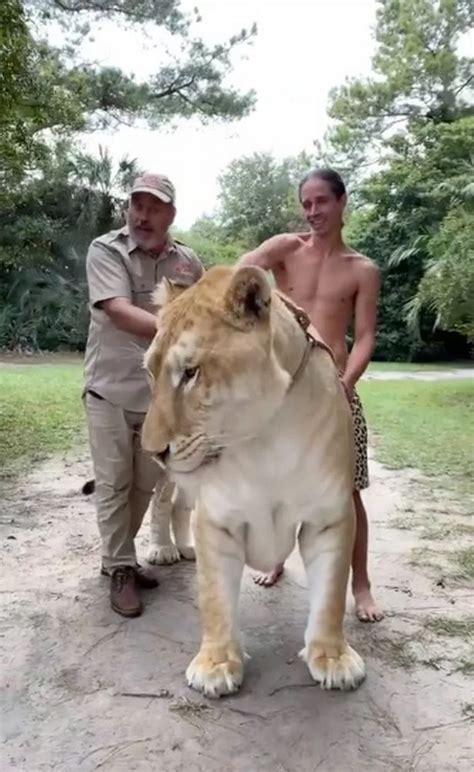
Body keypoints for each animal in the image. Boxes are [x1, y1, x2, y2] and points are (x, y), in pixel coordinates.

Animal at [143, 266, 364, 700]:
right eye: (150, 371)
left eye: (190, 373)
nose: (153, 450)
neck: (265, 437)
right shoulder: (217, 519)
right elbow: (215, 599)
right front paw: (215, 665)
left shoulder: (329, 517)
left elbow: (331, 593)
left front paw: (332, 658)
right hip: (170, 482)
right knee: (162, 502)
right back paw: (164, 549)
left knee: (179, 505)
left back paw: (185, 548)